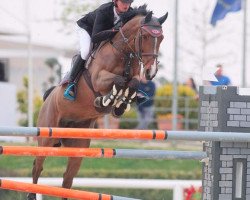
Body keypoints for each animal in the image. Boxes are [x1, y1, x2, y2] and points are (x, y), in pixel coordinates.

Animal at [27, 6, 168, 200]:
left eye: (161, 38)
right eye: (145, 36)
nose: (151, 72)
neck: (123, 53)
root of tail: (47, 99)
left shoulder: (133, 78)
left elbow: (132, 83)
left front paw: (120, 105)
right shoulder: (98, 79)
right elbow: (118, 81)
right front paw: (106, 99)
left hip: (78, 147)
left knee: (67, 179)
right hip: (46, 137)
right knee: (37, 166)